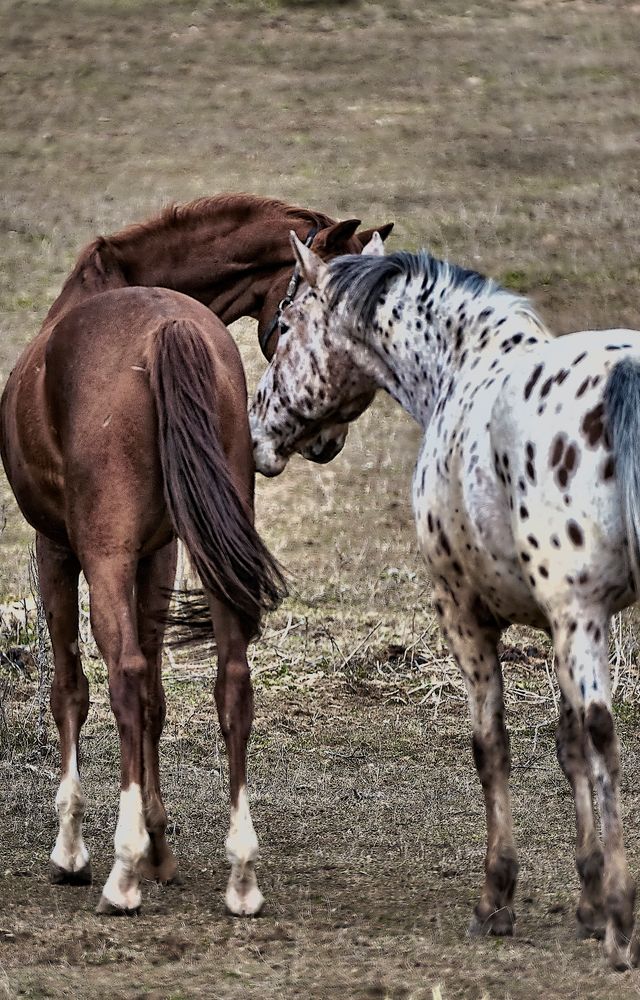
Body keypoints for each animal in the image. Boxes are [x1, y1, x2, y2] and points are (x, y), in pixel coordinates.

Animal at [0, 191, 392, 916]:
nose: (328, 442)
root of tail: (166, 328)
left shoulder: (59, 546)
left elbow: (73, 688)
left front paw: (76, 851)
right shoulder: (161, 553)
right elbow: (159, 695)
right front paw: (162, 846)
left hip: (102, 554)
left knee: (122, 677)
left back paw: (121, 874)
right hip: (208, 557)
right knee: (231, 681)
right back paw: (241, 875)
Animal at [251, 234, 640, 968]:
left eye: (283, 328)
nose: (255, 429)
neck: (466, 370)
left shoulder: (470, 617)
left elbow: (495, 745)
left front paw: (499, 899)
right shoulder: (556, 626)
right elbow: (567, 744)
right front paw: (586, 897)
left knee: (606, 736)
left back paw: (623, 927)